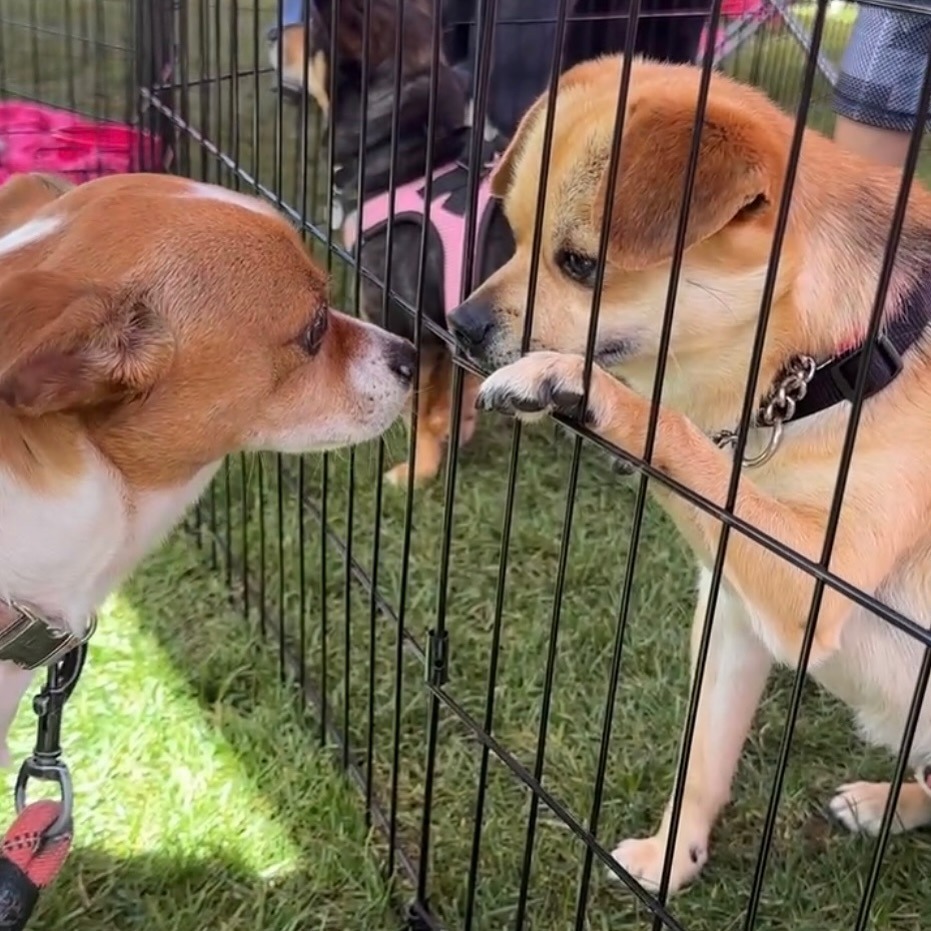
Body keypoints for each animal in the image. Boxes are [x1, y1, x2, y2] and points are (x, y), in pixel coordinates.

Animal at [450, 56, 931, 896]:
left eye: (581, 265)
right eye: (511, 236)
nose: (458, 325)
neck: (831, 364)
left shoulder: (813, 582)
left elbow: (667, 428)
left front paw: (574, 386)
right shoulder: (731, 610)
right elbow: (702, 756)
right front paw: (674, 854)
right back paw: (886, 800)